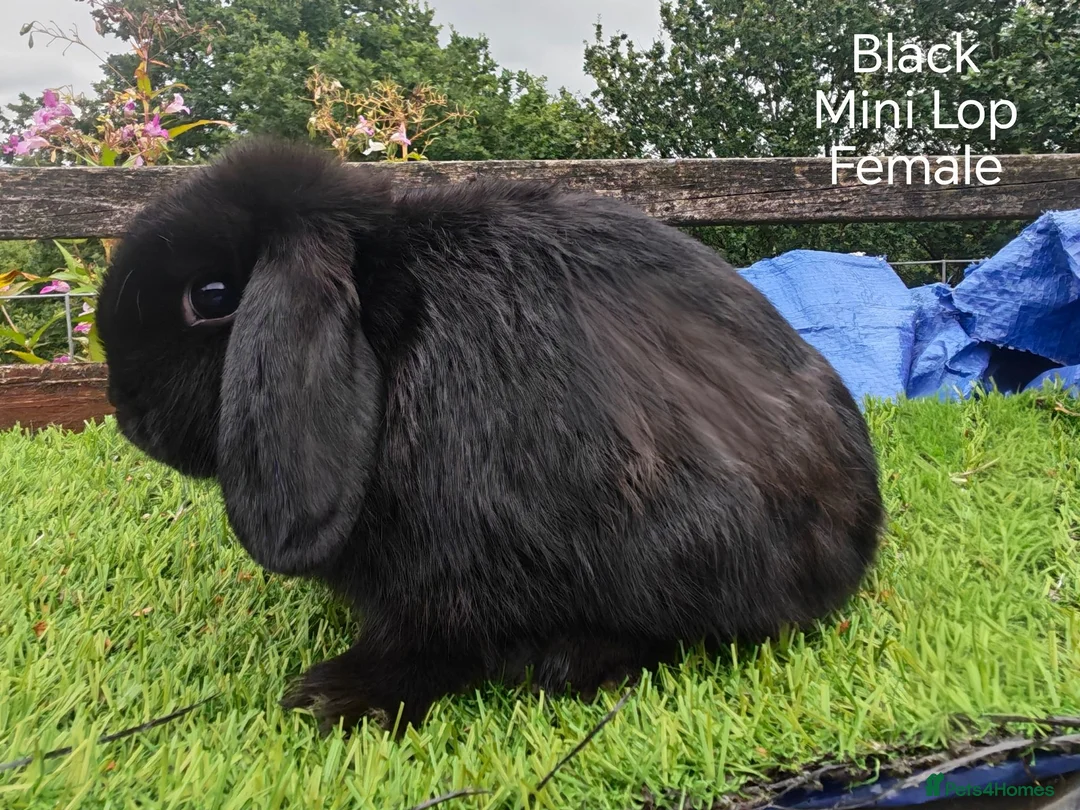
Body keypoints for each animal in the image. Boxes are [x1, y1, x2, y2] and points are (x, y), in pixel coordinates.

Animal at [96, 136, 884, 733]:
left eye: (212, 298)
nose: (128, 417)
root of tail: (860, 532)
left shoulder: (448, 576)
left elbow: (428, 647)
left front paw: (334, 697)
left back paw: (572, 662)